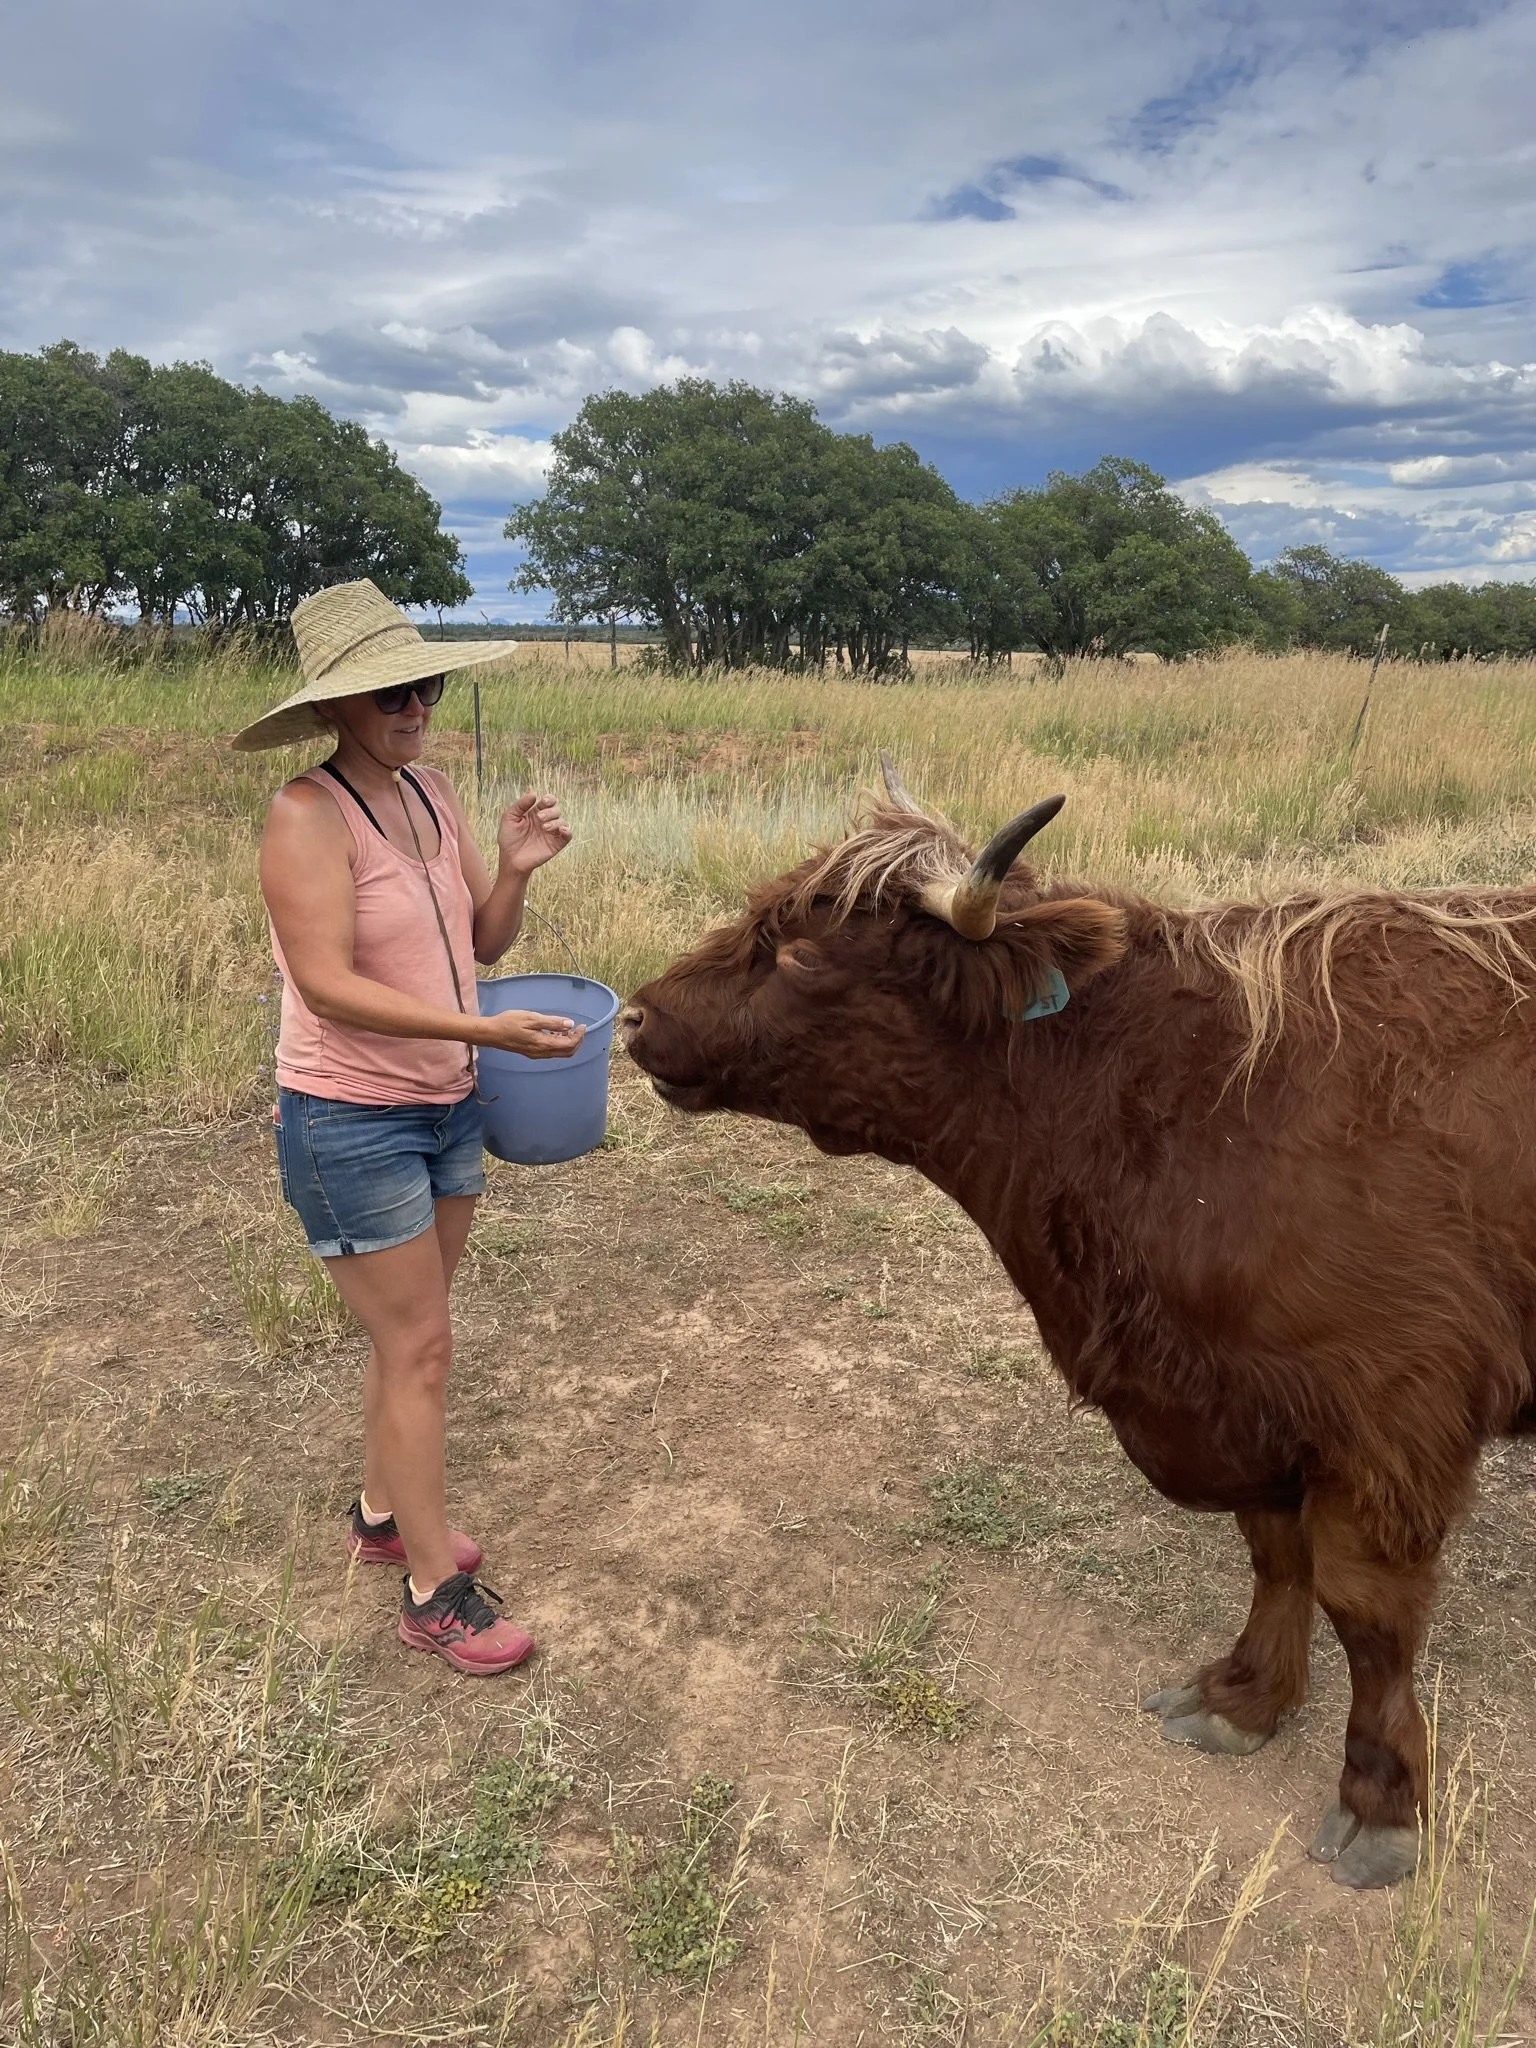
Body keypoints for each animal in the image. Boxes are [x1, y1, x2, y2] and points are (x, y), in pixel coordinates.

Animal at [620, 756, 1536, 1890]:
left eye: (796, 954)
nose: (635, 1016)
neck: (1190, 1103)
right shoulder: (1239, 1401)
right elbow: (1276, 1555)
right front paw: (1242, 1697)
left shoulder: (1391, 1420)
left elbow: (1368, 1614)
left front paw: (1379, 1799)